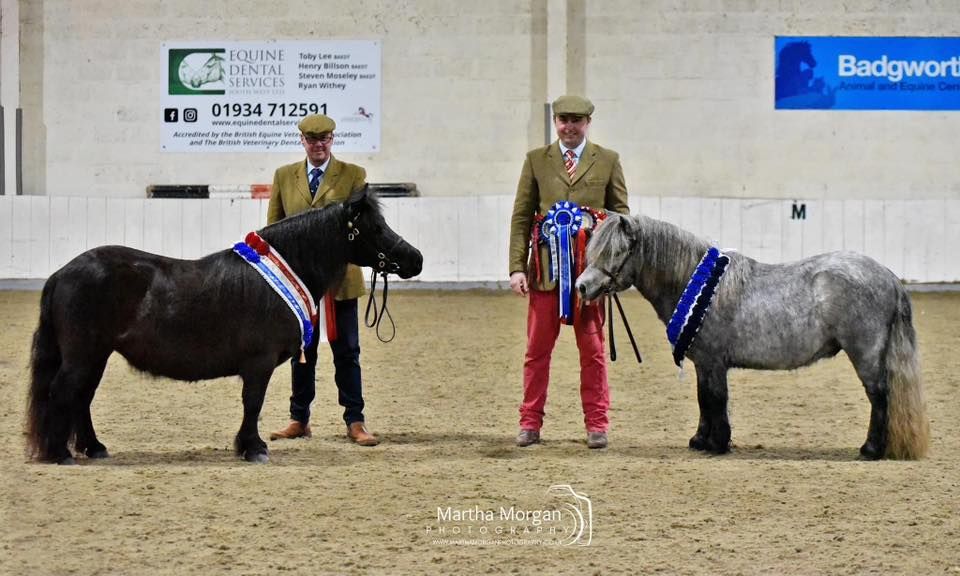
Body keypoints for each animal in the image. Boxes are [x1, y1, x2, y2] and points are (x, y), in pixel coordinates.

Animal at [26, 187, 422, 466]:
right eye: (375, 227)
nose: (414, 259)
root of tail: (62, 273)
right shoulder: (259, 364)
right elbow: (253, 403)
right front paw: (253, 448)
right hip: (83, 355)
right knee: (64, 392)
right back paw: (60, 453)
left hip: (96, 355)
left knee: (82, 398)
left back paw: (94, 448)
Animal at [576, 212, 928, 460]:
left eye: (617, 251)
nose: (581, 286)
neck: (697, 285)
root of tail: (889, 278)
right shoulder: (704, 363)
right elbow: (703, 398)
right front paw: (700, 440)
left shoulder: (713, 362)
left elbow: (715, 398)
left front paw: (717, 443)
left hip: (865, 353)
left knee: (879, 395)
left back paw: (871, 449)